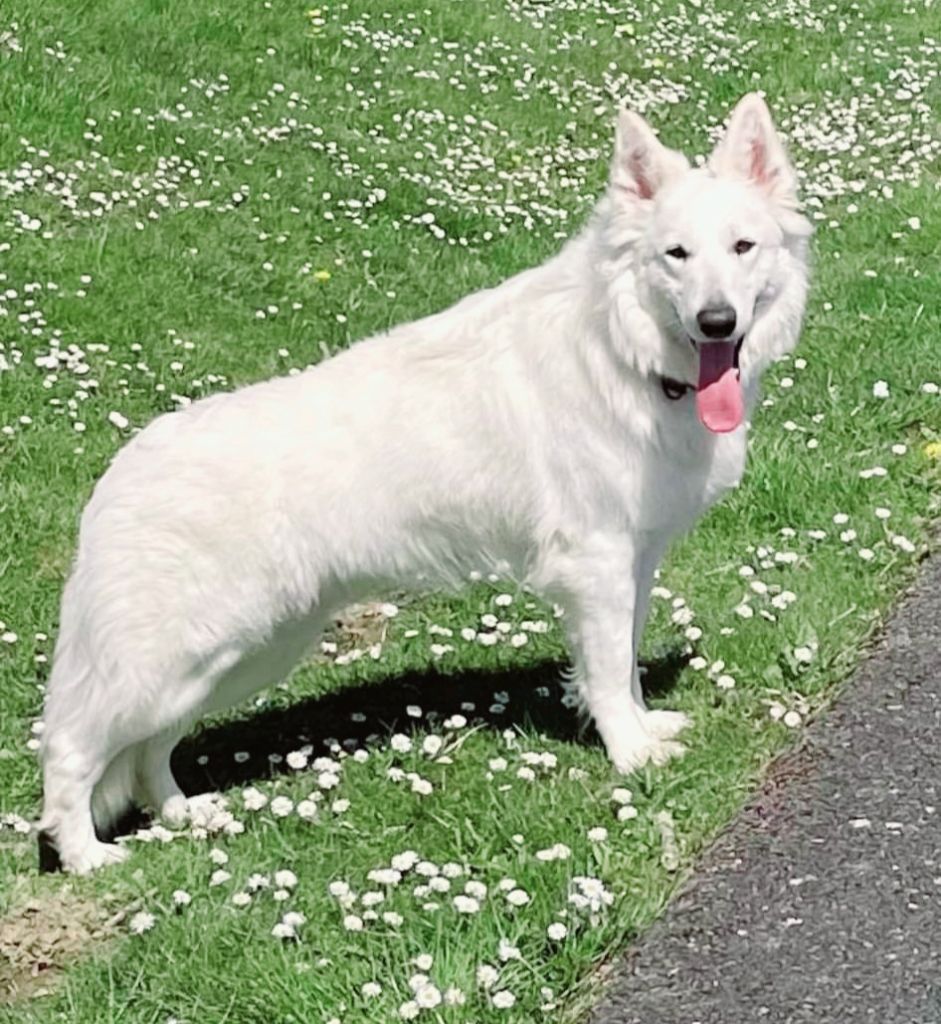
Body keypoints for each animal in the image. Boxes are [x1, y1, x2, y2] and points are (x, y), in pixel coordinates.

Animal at [40, 94, 815, 872]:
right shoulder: (595, 564)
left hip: (241, 654)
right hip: (178, 657)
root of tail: (119, 475)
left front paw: (646, 729)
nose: (716, 320)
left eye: (742, 248)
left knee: (148, 750)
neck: (622, 347)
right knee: (72, 749)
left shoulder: (634, 561)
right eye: (675, 255)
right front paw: (628, 755)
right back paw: (84, 856)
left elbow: (622, 662)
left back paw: (181, 814)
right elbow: (603, 671)